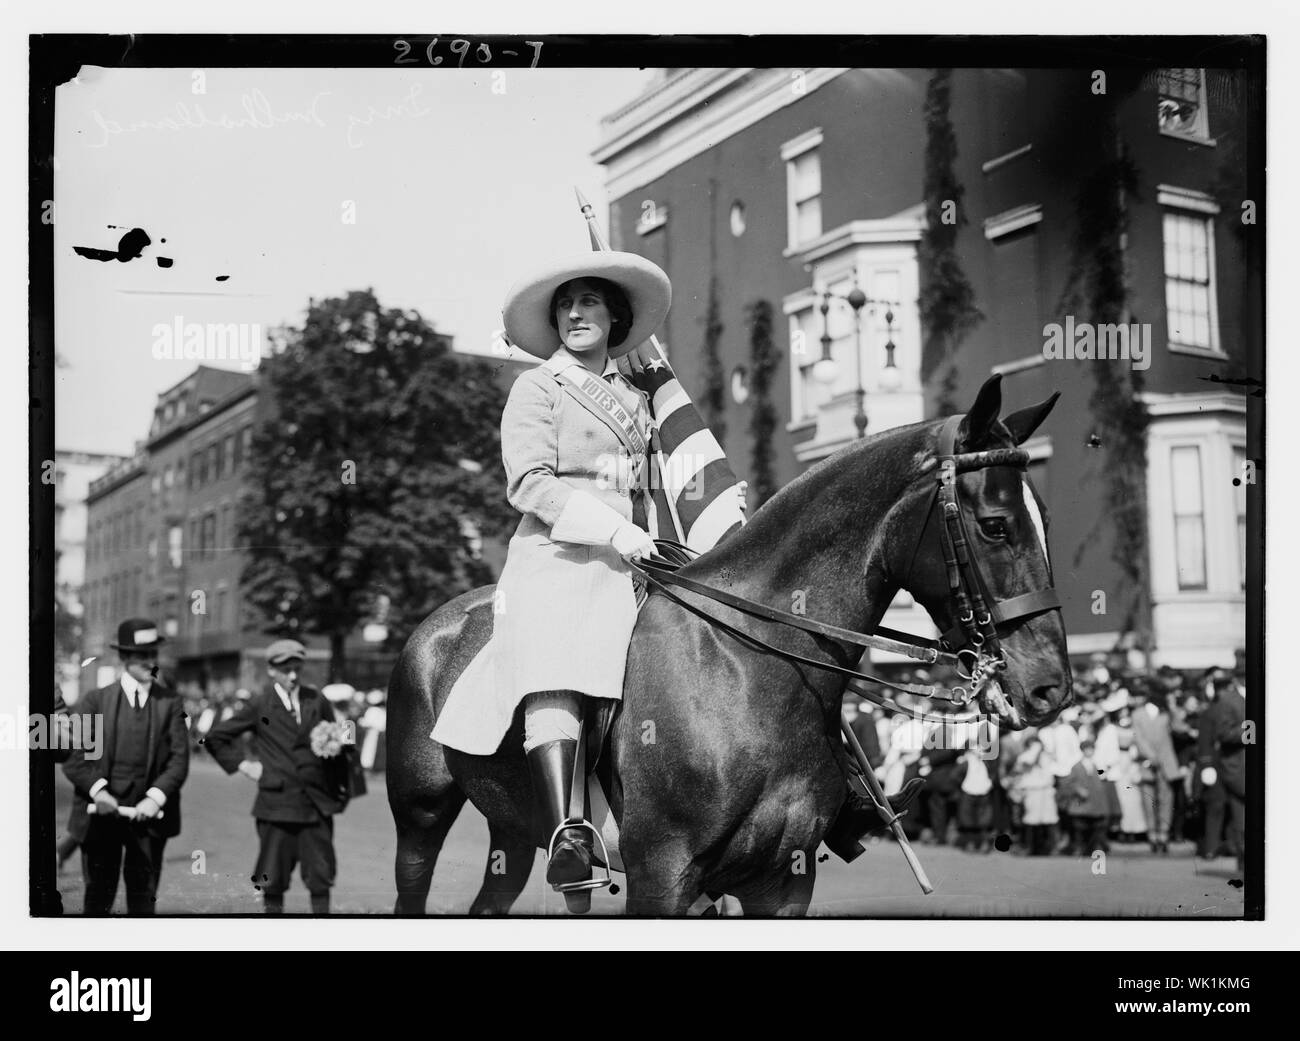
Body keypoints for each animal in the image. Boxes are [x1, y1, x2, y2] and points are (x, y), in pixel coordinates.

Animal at [382, 376, 1066, 914]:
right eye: (996, 526)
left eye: (1047, 516)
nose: (1049, 686)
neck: (747, 666)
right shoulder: (660, 876)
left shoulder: (781, 883)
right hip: (419, 816)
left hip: (511, 826)